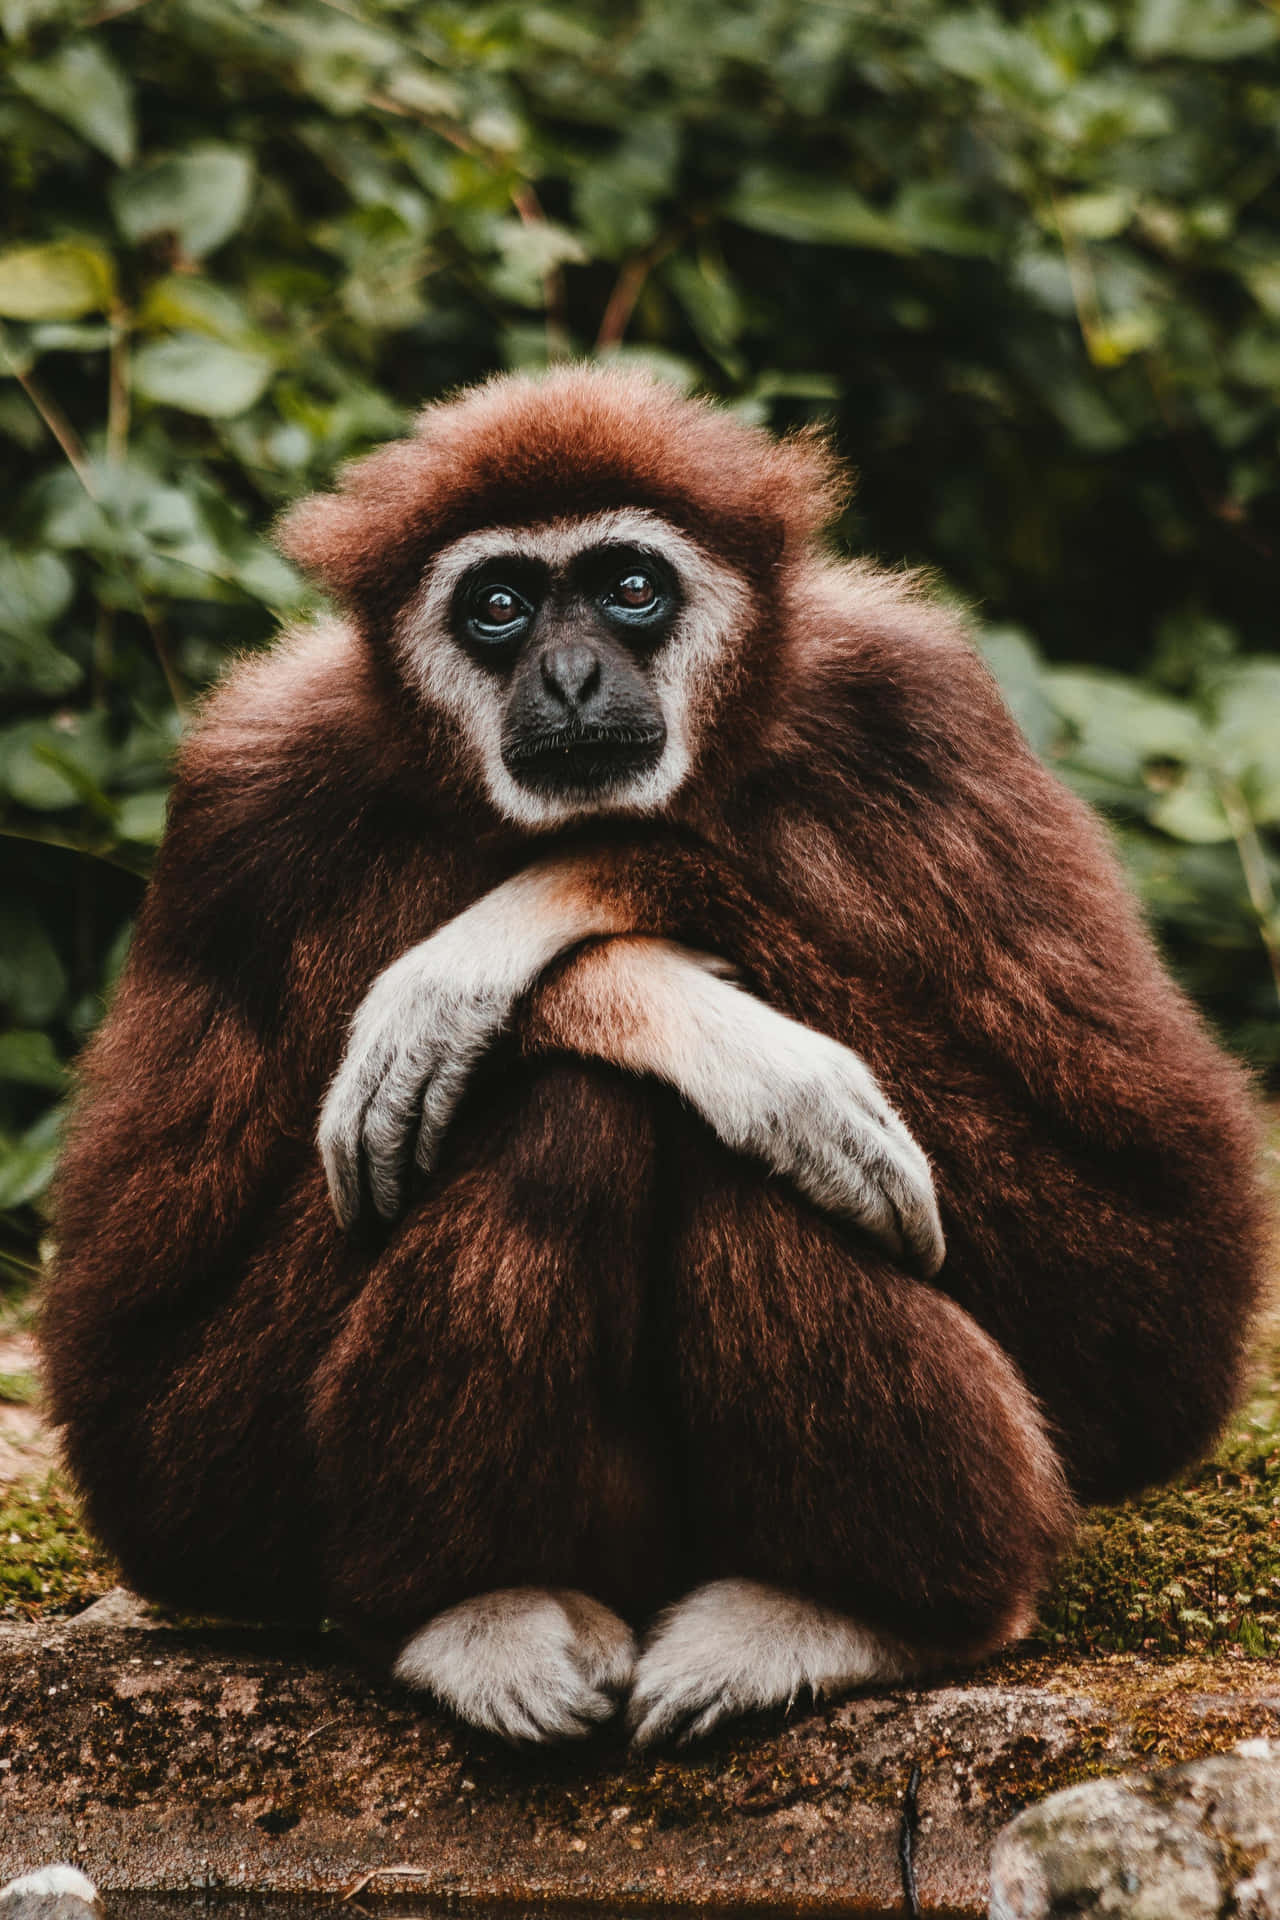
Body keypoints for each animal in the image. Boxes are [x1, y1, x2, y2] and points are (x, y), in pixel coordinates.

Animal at [41, 365, 1266, 1748]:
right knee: (569, 1107)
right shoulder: (241, 804)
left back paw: (855, 1612)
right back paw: (475, 1608)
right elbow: (144, 1422)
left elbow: (1159, 1289)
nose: (572, 675)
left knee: (751, 1148)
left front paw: (552, 911)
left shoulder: (924, 718)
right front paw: (628, 988)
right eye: (499, 606)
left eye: (630, 585)